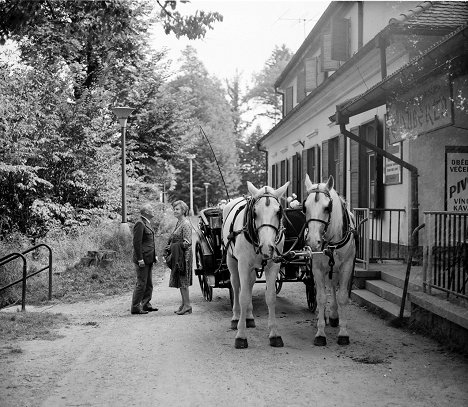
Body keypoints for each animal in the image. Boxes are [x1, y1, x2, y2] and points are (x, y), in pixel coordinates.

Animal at [222, 182, 288, 350]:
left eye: (278, 212)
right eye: (255, 213)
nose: (267, 247)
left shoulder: (273, 264)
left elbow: (270, 297)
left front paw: (274, 334)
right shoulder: (243, 264)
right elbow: (243, 297)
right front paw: (241, 336)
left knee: (250, 284)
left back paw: (249, 317)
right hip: (232, 260)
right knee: (236, 285)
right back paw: (236, 317)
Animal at [302, 175, 356, 348]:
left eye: (327, 208)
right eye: (305, 207)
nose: (313, 241)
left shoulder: (346, 266)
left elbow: (343, 297)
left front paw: (343, 333)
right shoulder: (317, 268)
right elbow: (320, 298)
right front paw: (320, 333)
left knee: (333, 286)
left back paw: (334, 315)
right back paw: (327, 316)